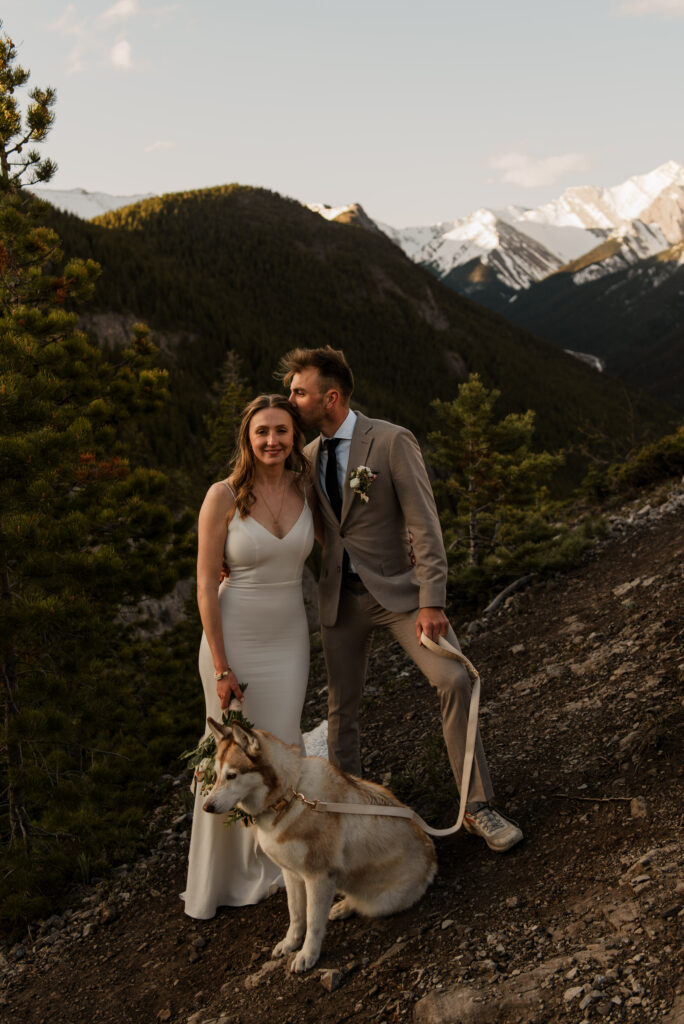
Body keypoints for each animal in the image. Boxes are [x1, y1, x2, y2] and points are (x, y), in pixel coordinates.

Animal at [204, 716, 438, 970]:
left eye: (232, 775)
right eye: (216, 775)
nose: (206, 806)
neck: (288, 798)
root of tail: (433, 859)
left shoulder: (317, 876)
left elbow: (314, 922)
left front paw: (307, 955)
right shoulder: (291, 874)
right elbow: (296, 915)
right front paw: (290, 944)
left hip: (381, 900)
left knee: (363, 904)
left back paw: (346, 906)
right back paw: (342, 906)